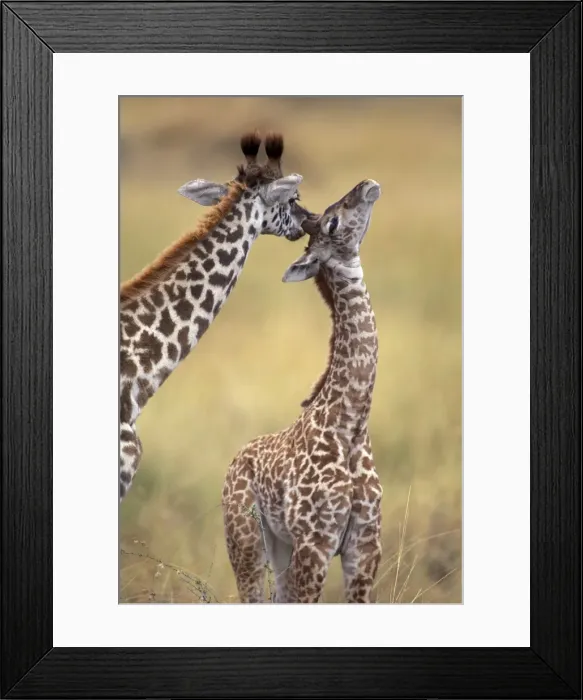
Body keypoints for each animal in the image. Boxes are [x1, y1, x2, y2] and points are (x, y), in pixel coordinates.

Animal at [222, 179, 383, 603]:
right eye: (331, 223)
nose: (366, 186)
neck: (351, 425)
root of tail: (234, 461)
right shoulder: (315, 544)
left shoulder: (365, 546)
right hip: (247, 541)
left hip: (280, 545)